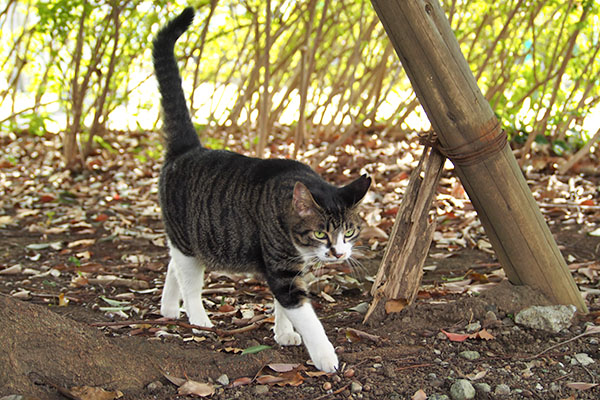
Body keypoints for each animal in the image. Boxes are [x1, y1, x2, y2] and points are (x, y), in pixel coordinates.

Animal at [154, 7, 370, 374]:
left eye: (350, 231)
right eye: (321, 234)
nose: (340, 254)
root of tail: (187, 149)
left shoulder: (290, 267)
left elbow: (283, 308)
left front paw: (284, 333)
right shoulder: (282, 268)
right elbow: (302, 312)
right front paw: (325, 356)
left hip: (189, 242)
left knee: (173, 265)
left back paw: (169, 308)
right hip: (186, 235)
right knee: (188, 279)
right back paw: (198, 319)